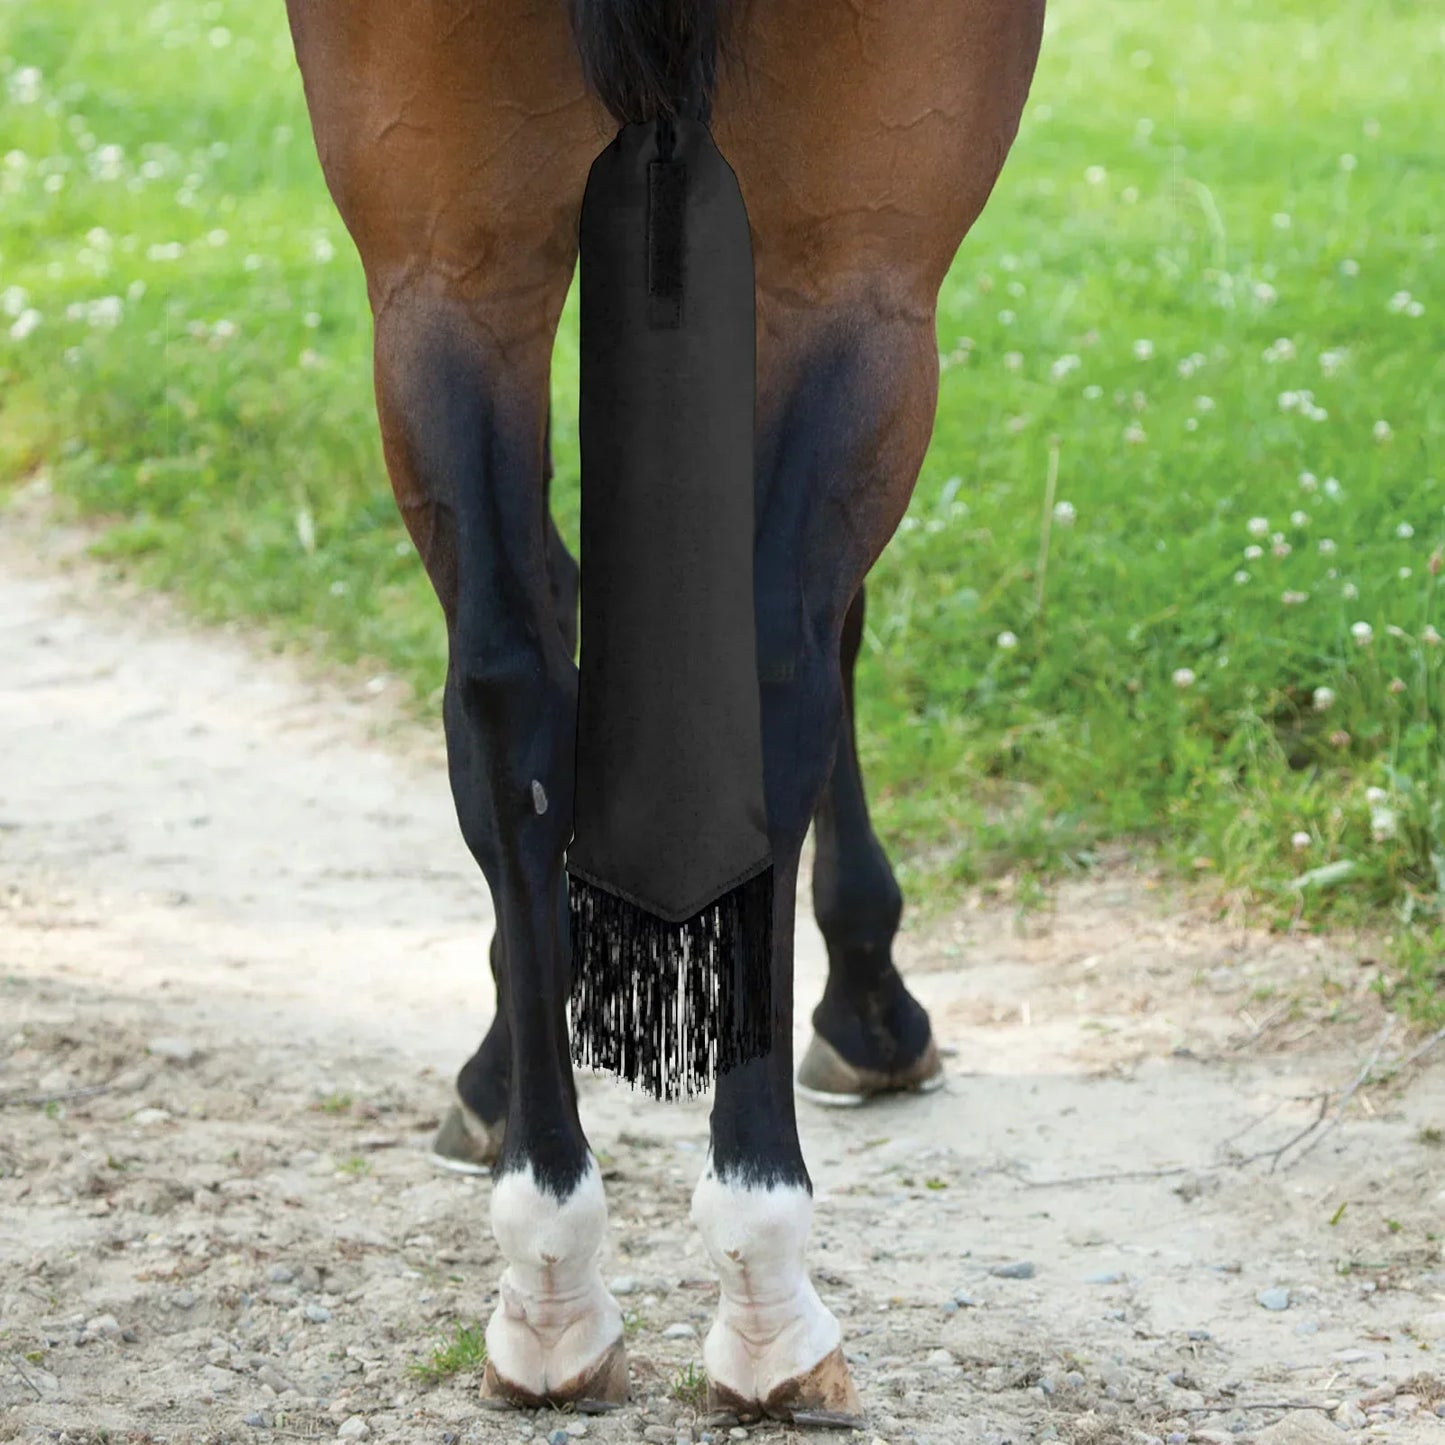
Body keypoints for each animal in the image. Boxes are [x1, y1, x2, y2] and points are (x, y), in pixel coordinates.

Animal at [285, 0, 1044, 1420]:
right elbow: (820, 636)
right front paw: (866, 1000)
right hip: (859, 248)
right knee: (774, 667)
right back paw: (765, 1271)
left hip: (443, 255)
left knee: (505, 685)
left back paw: (548, 1267)